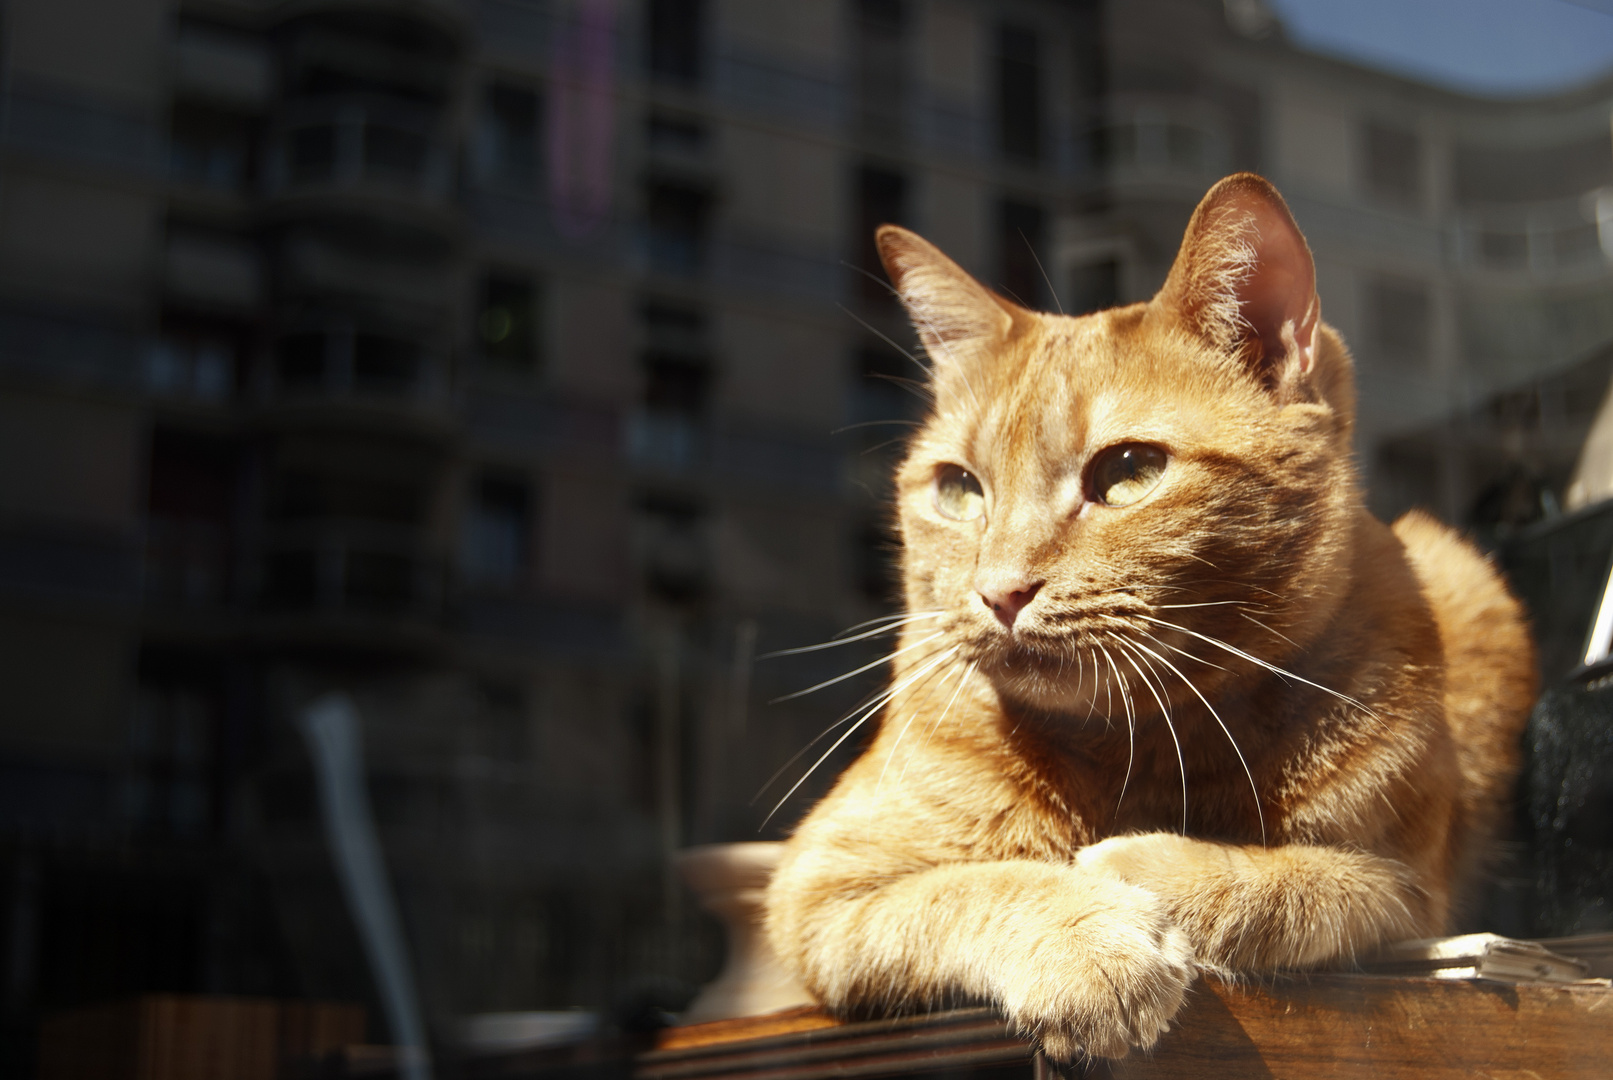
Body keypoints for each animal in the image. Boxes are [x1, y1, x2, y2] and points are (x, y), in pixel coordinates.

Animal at [761, 173, 1529, 1063]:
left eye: (1128, 471)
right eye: (957, 489)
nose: (999, 592)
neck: (1139, 747)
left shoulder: (1409, 896)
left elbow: (1304, 881)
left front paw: (1144, 873)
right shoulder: (821, 890)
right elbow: (968, 886)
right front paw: (1083, 936)